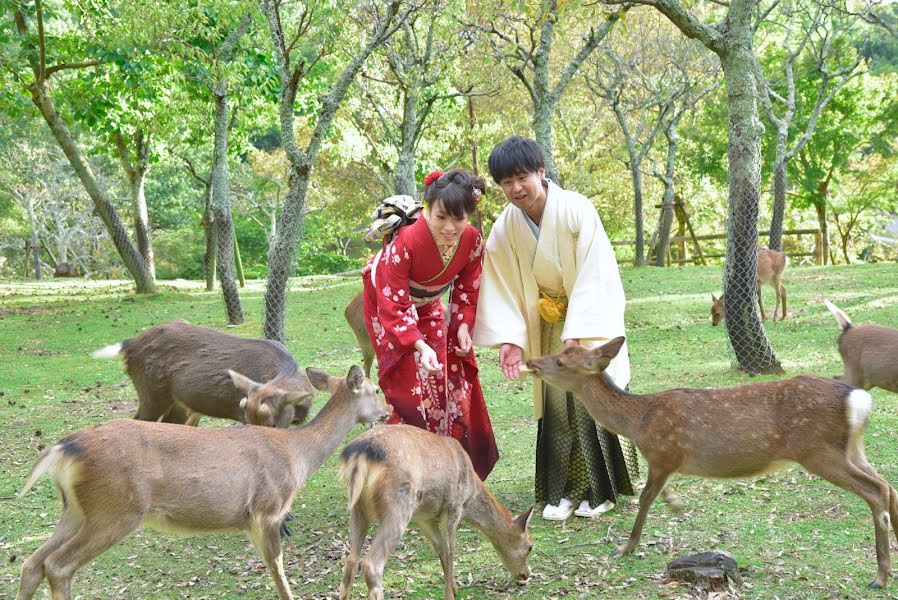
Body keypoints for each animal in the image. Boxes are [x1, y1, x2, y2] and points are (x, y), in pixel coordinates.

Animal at [15, 360, 388, 600]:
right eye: (374, 389)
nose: (385, 413)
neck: (298, 458)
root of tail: (64, 449)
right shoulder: (267, 509)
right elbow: (277, 569)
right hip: (116, 508)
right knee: (58, 565)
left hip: (77, 510)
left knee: (33, 562)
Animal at [336, 422, 532, 600]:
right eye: (530, 546)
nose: (526, 575)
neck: (471, 492)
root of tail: (360, 454)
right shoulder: (453, 507)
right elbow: (450, 550)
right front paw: (450, 594)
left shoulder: (425, 517)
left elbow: (440, 549)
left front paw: (453, 588)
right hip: (398, 506)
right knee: (371, 564)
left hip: (358, 508)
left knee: (351, 561)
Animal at [520, 338, 896, 592]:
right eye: (559, 351)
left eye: (560, 362)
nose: (532, 362)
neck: (637, 422)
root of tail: (859, 400)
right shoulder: (666, 462)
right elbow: (659, 495)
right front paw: (675, 505)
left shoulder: (663, 453)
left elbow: (645, 498)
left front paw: (625, 547)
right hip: (852, 449)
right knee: (887, 485)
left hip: (818, 450)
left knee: (875, 490)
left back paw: (879, 576)